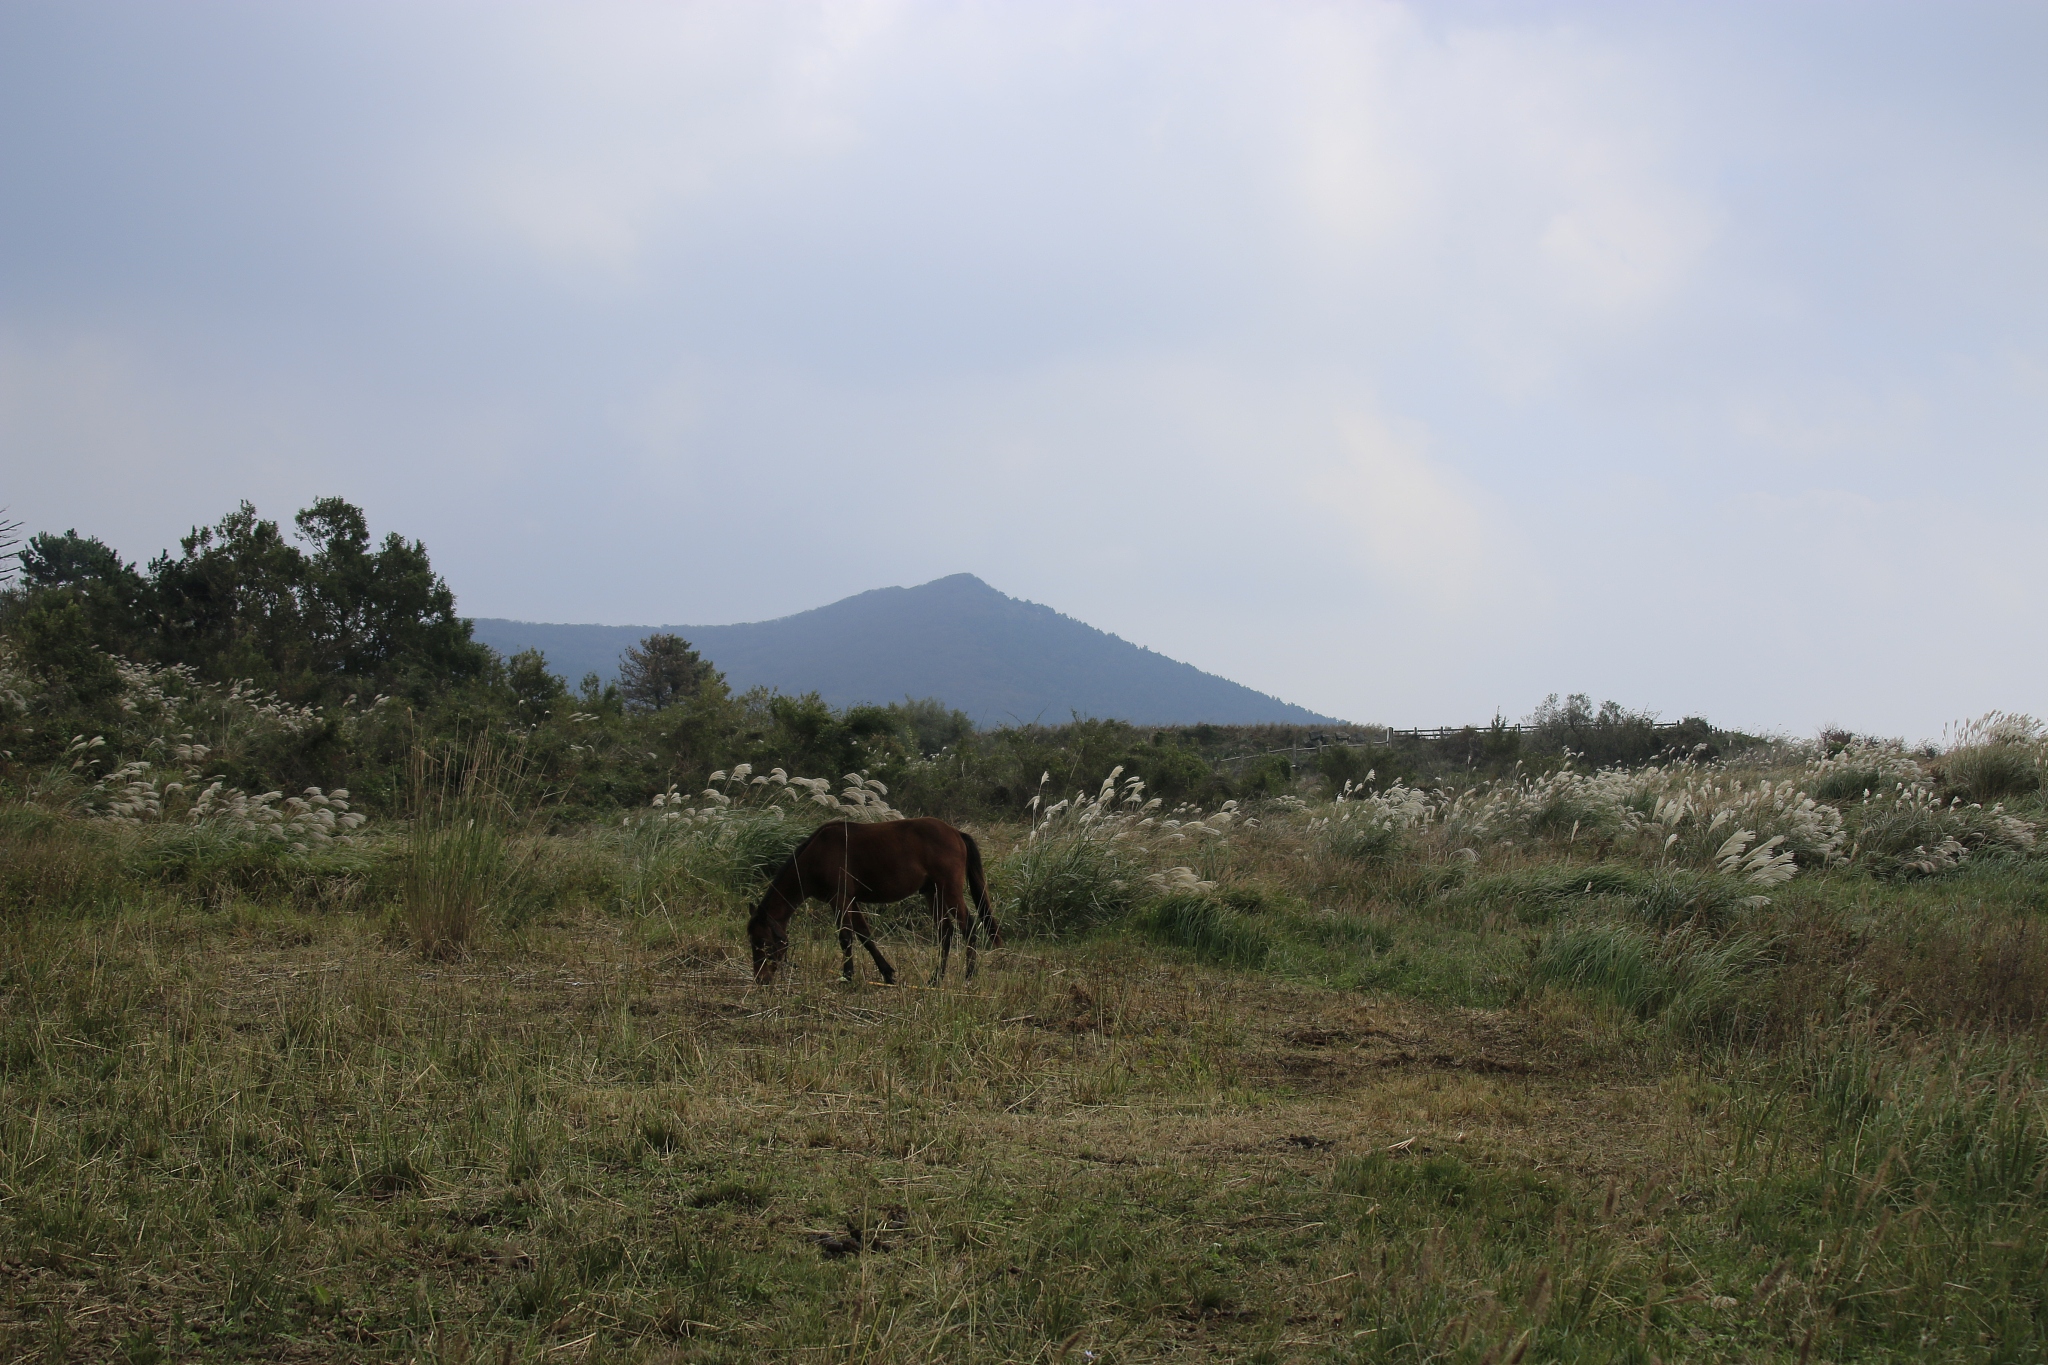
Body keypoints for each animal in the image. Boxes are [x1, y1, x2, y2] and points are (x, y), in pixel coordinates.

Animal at [747, 817, 1002, 985]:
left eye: (764, 942)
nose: (761, 980)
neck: (817, 854)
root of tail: (956, 833)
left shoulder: (839, 899)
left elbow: (846, 937)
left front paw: (847, 976)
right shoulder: (851, 901)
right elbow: (865, 936)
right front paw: (887, 973)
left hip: (949, 891)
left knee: (968, 927)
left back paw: (968, 975)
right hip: (934, 894)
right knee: (945, 932)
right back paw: (936, 978)